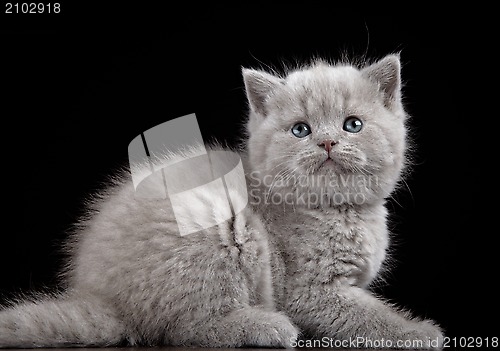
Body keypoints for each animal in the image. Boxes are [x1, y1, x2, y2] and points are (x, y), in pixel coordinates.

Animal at [0, 55, 446, 350]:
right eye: (300, 130)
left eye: (352, 125)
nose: (327, 142)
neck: (336, 209)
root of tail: (102, 297)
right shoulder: (311, 292)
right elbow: (367, 315)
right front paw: (419, 333)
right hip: (217, 225)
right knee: (182, 328)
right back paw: (265, 326)